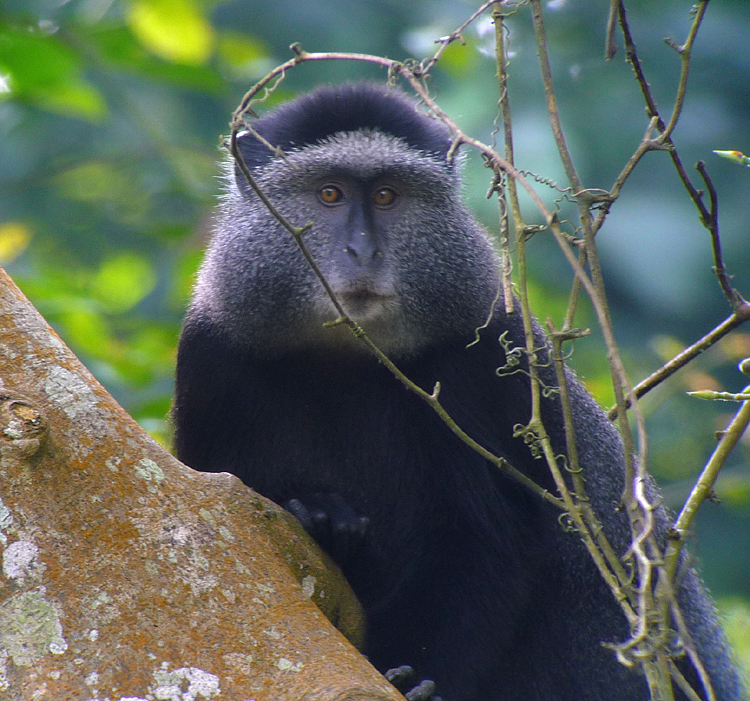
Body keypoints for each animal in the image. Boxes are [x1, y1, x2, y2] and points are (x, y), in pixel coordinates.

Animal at [175, 83, 748, 700]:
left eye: (387, 196)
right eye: (328, 193)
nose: (362, 252)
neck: (343, 356)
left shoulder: (489, 353)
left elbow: (482, 550)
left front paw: (412, 677)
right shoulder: (210, 352)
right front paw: (321, 514)